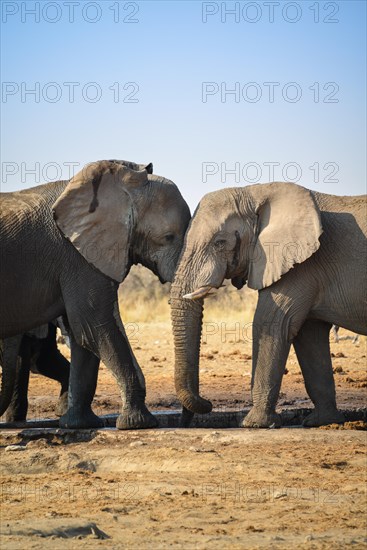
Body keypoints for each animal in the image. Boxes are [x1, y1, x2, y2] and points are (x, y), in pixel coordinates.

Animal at [2, 160, 193, 432]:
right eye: (168, 237)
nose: (186, 421)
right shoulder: (76, 256)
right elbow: (95, 326)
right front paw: (139, 424)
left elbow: (82, 333)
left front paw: (80, 424)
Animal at [171, 183, 366, 430]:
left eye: (220, 242)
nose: (207, 404)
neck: (255, 191)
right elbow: (309, 336)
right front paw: (321, 422)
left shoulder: (301, 265)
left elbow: (270, 325)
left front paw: (254, 424)